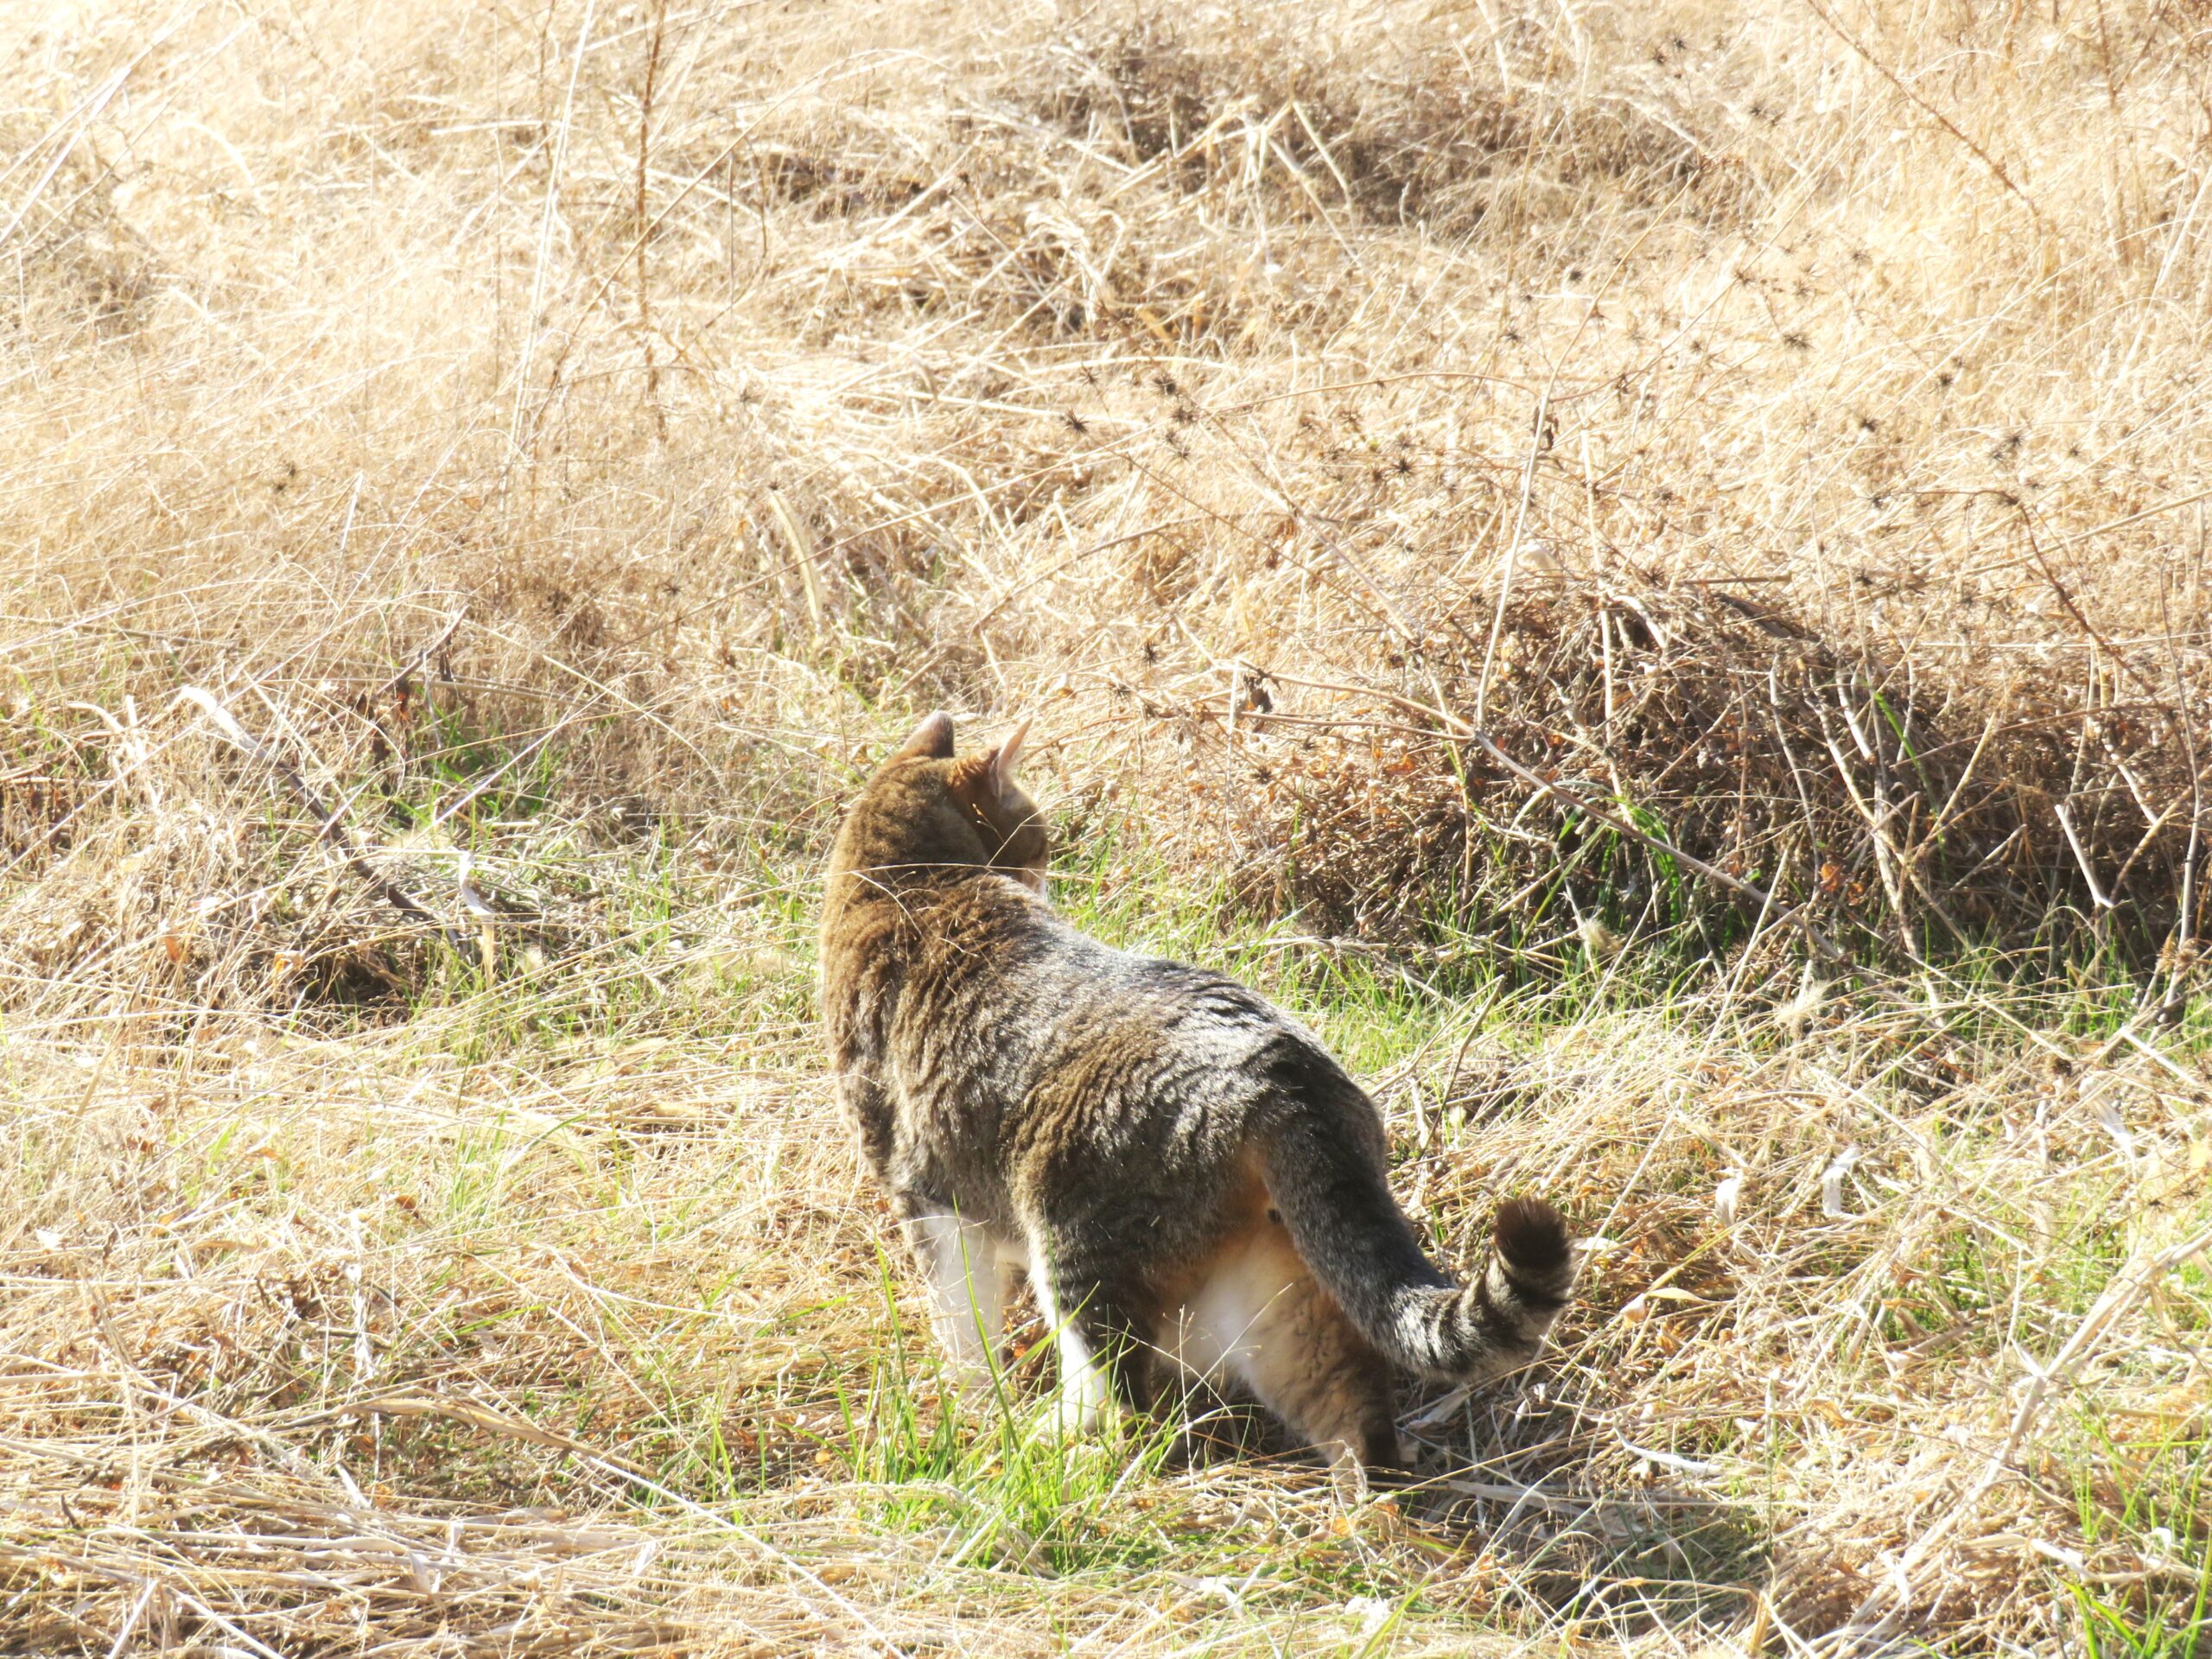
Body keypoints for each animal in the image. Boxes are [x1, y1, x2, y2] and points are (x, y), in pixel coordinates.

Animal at [823, 712, 1583, 1468]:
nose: (1045, 876)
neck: (916, 883)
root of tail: (1281, 1078)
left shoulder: (922, 1195)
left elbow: (962, 1323)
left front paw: (973, 1403)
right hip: (1283, 1297)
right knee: (1353, 1410)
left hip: (1077, 1250)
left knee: (1122, 1401)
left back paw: (1052, 1445)